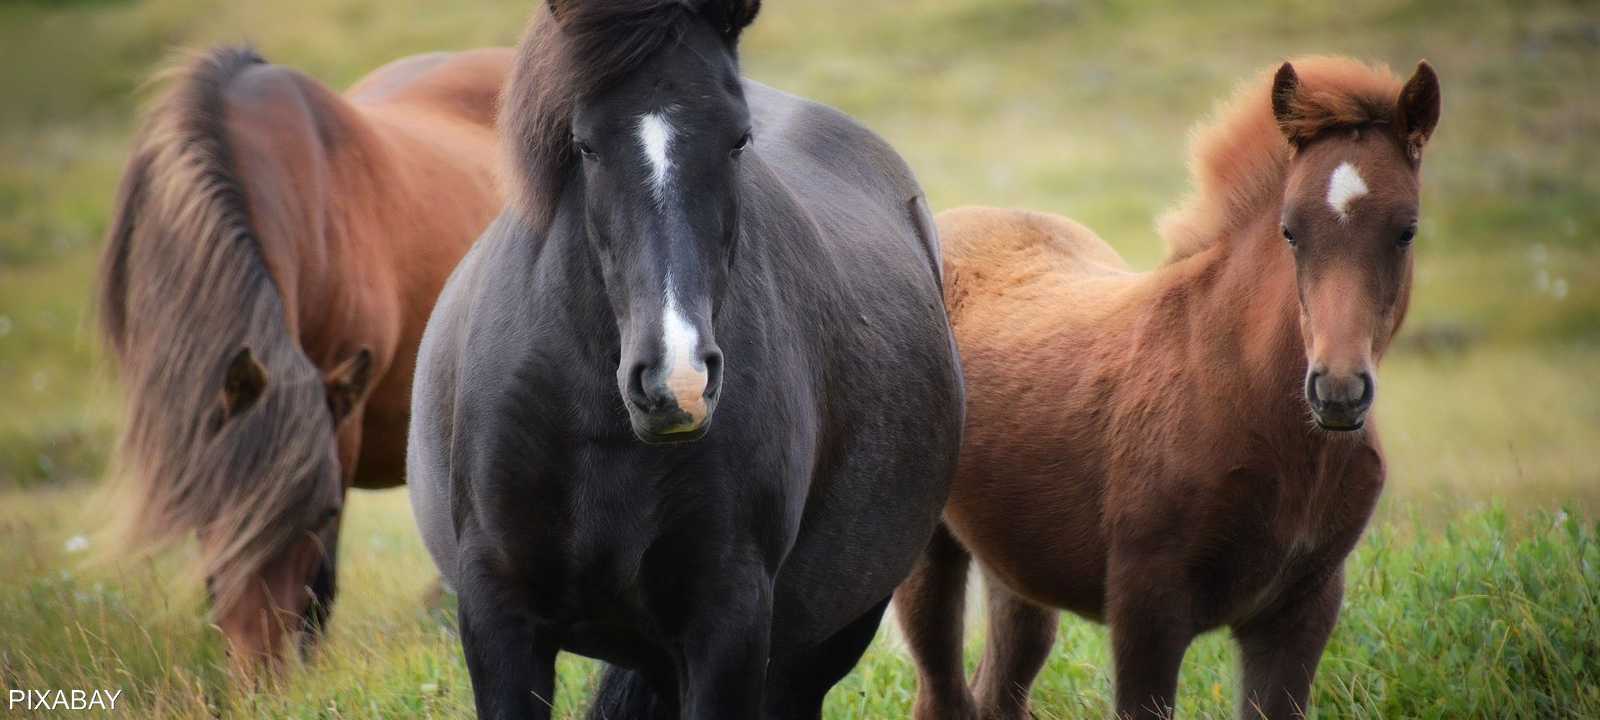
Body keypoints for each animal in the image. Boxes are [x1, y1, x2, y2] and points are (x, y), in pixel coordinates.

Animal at [406, 2, 966, 716]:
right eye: (585, 145)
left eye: (738, 140)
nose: (678, 383)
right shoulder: (497, 616)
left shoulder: (727, 623)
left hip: (827, 637)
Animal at [902, 57, 1440, 720]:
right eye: (1290, 231)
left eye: (1406, 231)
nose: (1337, 392)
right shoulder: (1147, 609)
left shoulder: (1302, 611)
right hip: (927, 554)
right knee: (941, 692)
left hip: (1017, 569)